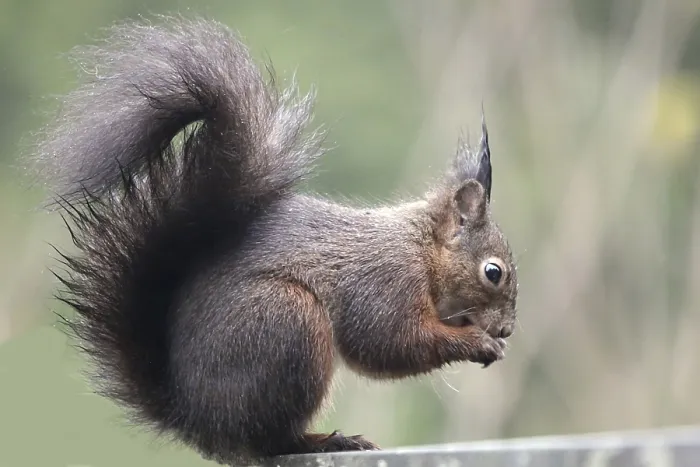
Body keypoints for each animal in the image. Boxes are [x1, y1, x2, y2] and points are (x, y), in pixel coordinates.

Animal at [31, 16, 519, 466]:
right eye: (493, 272)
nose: (507, 329)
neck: (421, 248)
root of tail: (195, 420)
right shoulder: (385, 280)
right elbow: (388, 343)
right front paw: (478, 342)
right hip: (286, 322)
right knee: (270, 440)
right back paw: (325, 440)